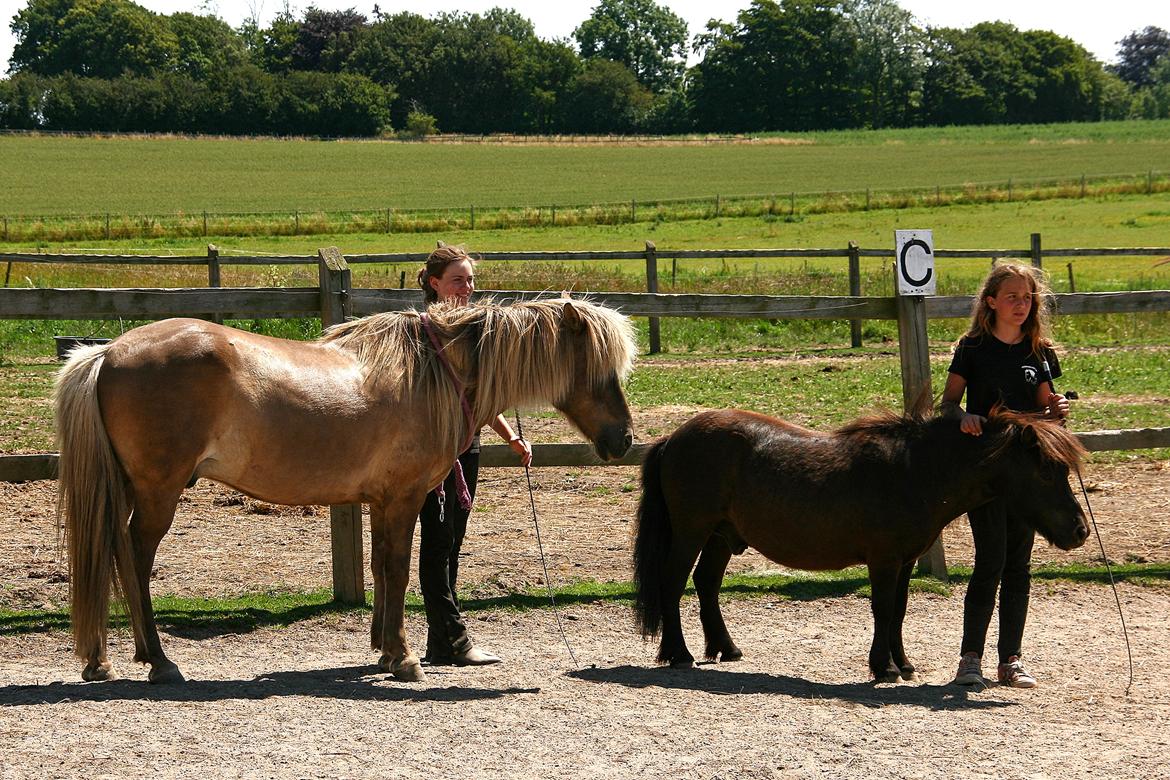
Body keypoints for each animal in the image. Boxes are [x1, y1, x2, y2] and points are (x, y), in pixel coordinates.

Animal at [54, 297, 636, 682]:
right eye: (600, 369)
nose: (624, 439)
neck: (432, 374)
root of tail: (108, 353)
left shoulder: (380, 503)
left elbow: (380, 569)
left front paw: (383, 650)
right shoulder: (404, 500)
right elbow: (399, 572)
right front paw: (404, 659)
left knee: (110, 556)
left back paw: (102, 661)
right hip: (158, 494)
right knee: (132, 559)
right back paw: (157, 661)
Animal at [636, 409, 1090, 682]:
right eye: (1047, 471)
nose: (1080, 530)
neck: (915, 471)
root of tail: (673, 437)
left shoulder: (904, 562)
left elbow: (899, 612)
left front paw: (903, 664)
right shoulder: (884, 560)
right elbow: (883, 609)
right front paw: (884, 667)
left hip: (721, 536)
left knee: (706, 585)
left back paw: (726, 649)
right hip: (692, 532)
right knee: (672, 584)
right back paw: (678, 653)